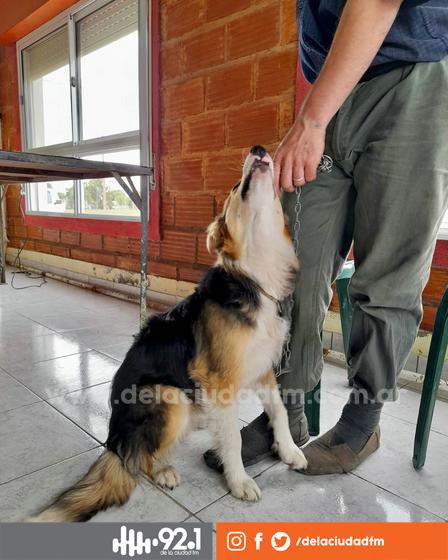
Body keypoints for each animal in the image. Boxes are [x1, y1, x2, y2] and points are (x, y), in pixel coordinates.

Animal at [29, 145, 307, 522]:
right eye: (237, 187)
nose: (259, 149)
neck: (254, 278)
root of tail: (114, 440)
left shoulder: (263, 366)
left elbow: (278, 411)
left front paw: (289, 451)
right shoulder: (219, 377)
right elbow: (233, 439)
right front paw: (238, 481)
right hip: (168, 396)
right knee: (142, 459)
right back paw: (163, 470)